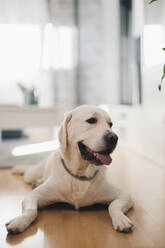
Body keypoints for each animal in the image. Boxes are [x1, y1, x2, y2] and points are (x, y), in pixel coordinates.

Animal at [5, 105, 133, 234]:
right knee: (28, 171)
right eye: (91, 120)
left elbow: (114, 206)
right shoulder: (33, 195)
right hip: (32, 173)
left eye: (110, 124)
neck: (81, 173)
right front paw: (20, 221)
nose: (114, 138)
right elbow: (31, 210)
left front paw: (121, 219)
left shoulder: (124, 195)